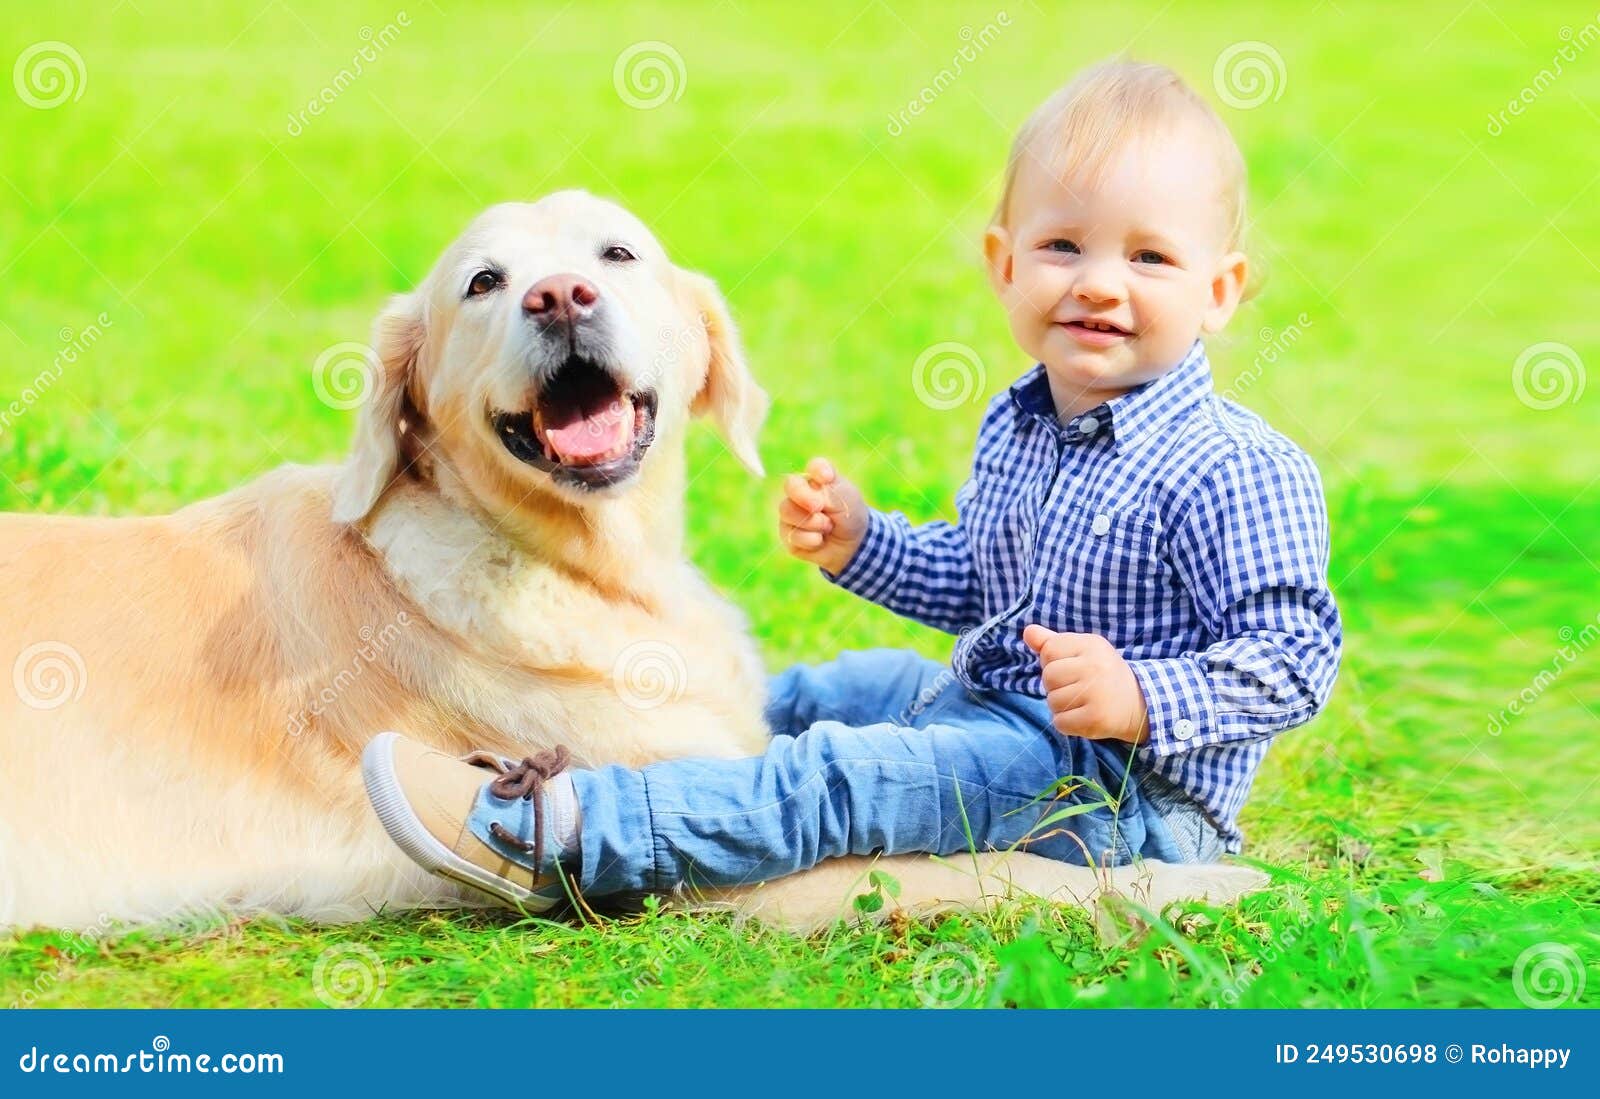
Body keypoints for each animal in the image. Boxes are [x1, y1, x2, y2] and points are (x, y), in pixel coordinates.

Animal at [0, 193, 1260, 934]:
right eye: (482, 282)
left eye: (617, 253)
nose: (561, 296)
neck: (586, 568)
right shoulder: (766, 866)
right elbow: (986, 867)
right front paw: (1193, 883)